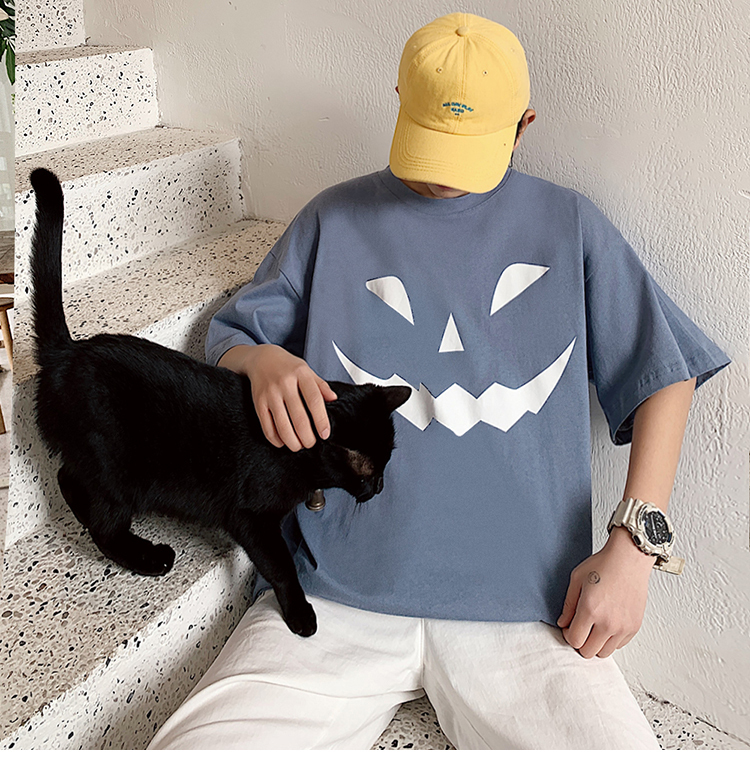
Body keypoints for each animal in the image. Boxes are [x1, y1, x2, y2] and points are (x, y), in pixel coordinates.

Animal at [28, 167, 411, 637]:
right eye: (369, 470)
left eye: (384, 467)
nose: (380, 488)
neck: (296, 455)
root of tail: (67, 353)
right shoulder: (249, 516)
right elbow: (280, 566)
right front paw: (300, 613)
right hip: (118, 470)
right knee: (100, 519)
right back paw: (147, 556)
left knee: (68, 477)